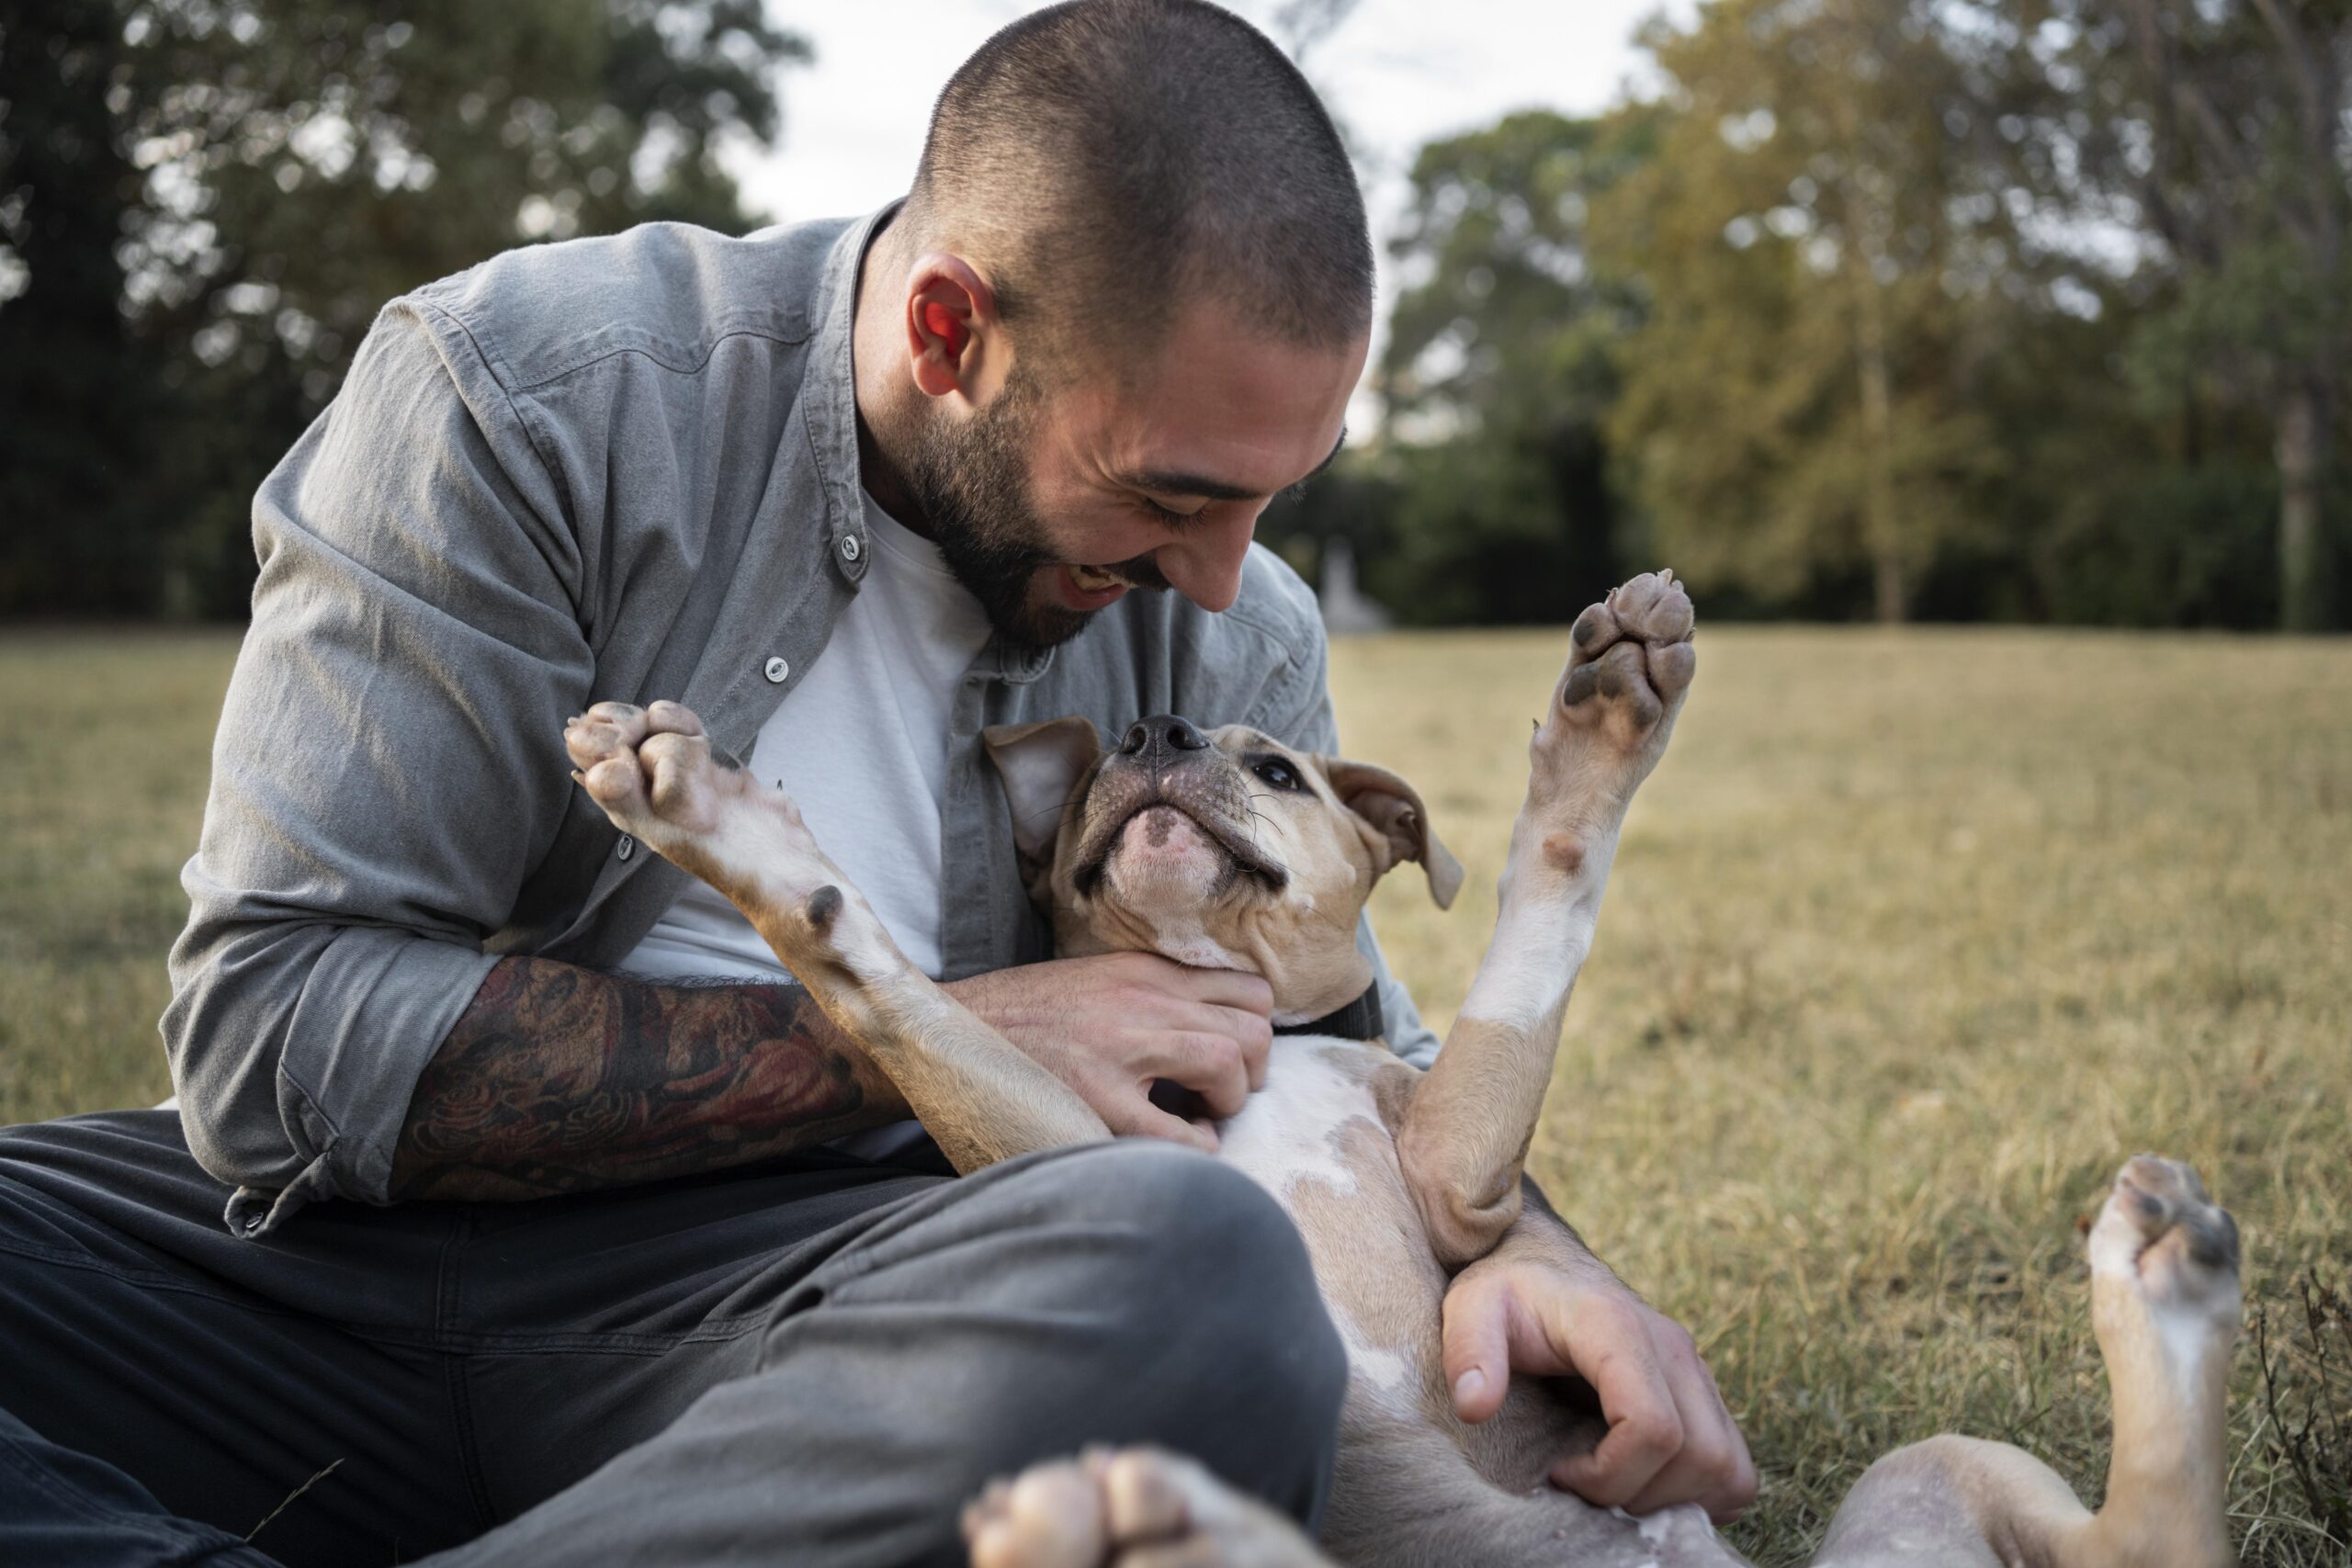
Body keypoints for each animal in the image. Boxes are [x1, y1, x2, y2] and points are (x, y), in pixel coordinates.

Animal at [560, 576, 2229, 1568]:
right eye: (1100, 778)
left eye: (1280, 768)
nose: (1155, 726)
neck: (1265, 1042)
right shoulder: (1066, 1135)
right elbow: (885, 984)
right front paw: (722, 823)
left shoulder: (1458, 1169)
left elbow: (1534, 924)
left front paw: (1602, 726)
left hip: (1943, 1465)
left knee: (2148, 1542)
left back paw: (2166, 1274)